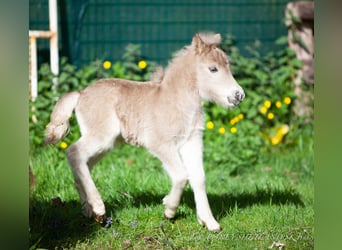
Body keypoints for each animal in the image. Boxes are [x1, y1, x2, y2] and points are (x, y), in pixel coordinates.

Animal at [45, 33, 244, 232]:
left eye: (228, 66)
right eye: (213, 69)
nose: (238, 95)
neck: (177, 101)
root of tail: (81, 93)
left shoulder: (191, 142)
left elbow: (199, 178)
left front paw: (209, 222)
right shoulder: (161, 144)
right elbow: (181, 176)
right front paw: (169, 209)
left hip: (105, 144)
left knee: (83, 163)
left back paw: (89, 211)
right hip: (101, 138)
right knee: (73, 152)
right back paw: (99, 208)